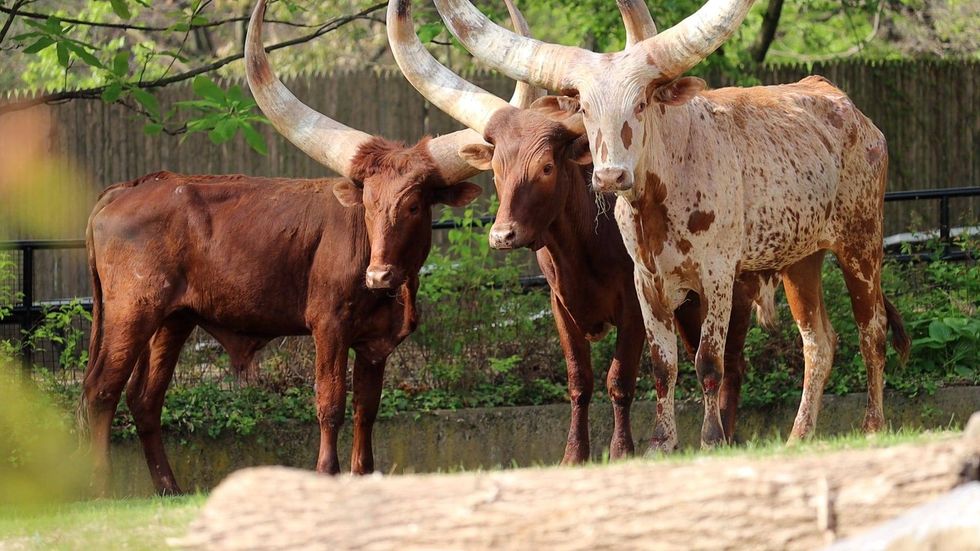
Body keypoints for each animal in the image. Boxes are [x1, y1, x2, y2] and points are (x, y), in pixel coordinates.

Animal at [81, 0, 536, 495]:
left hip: (173, 320)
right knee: (100, 391)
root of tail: (125, 188)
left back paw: (169, 488)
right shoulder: (329, 326)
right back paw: (100, 489)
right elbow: (330, 402)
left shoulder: (374, 344)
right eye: (368, 203)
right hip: (131, 311)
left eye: (415, 204)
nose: (378, 276)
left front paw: (363, 473)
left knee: (144, 398)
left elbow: (366, 409)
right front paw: (326, 473)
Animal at [387, 0, 779, 458]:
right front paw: (574, 454)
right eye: (497, 167)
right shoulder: (560, 304)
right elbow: (579, 380)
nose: (501, 235)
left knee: (730, 363)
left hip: (731, 291)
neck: (581, 246)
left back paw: (726, 436)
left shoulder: (634, 304)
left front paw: (621, 450)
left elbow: (620, 379)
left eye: (546, 167)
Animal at [433, 0, 911, 448]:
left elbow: (709, 362)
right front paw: (662, 442)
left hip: (861, 243)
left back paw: (872, 426)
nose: (610, 176)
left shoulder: (717, 277)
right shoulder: (646, 283)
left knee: (871, 331)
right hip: (800, 260)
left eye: (641, 103)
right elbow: (663, 366)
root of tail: (849, 108)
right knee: (818, 342)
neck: (658, 207)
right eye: (584, 109)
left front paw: (712, 439)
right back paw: (799, 435)